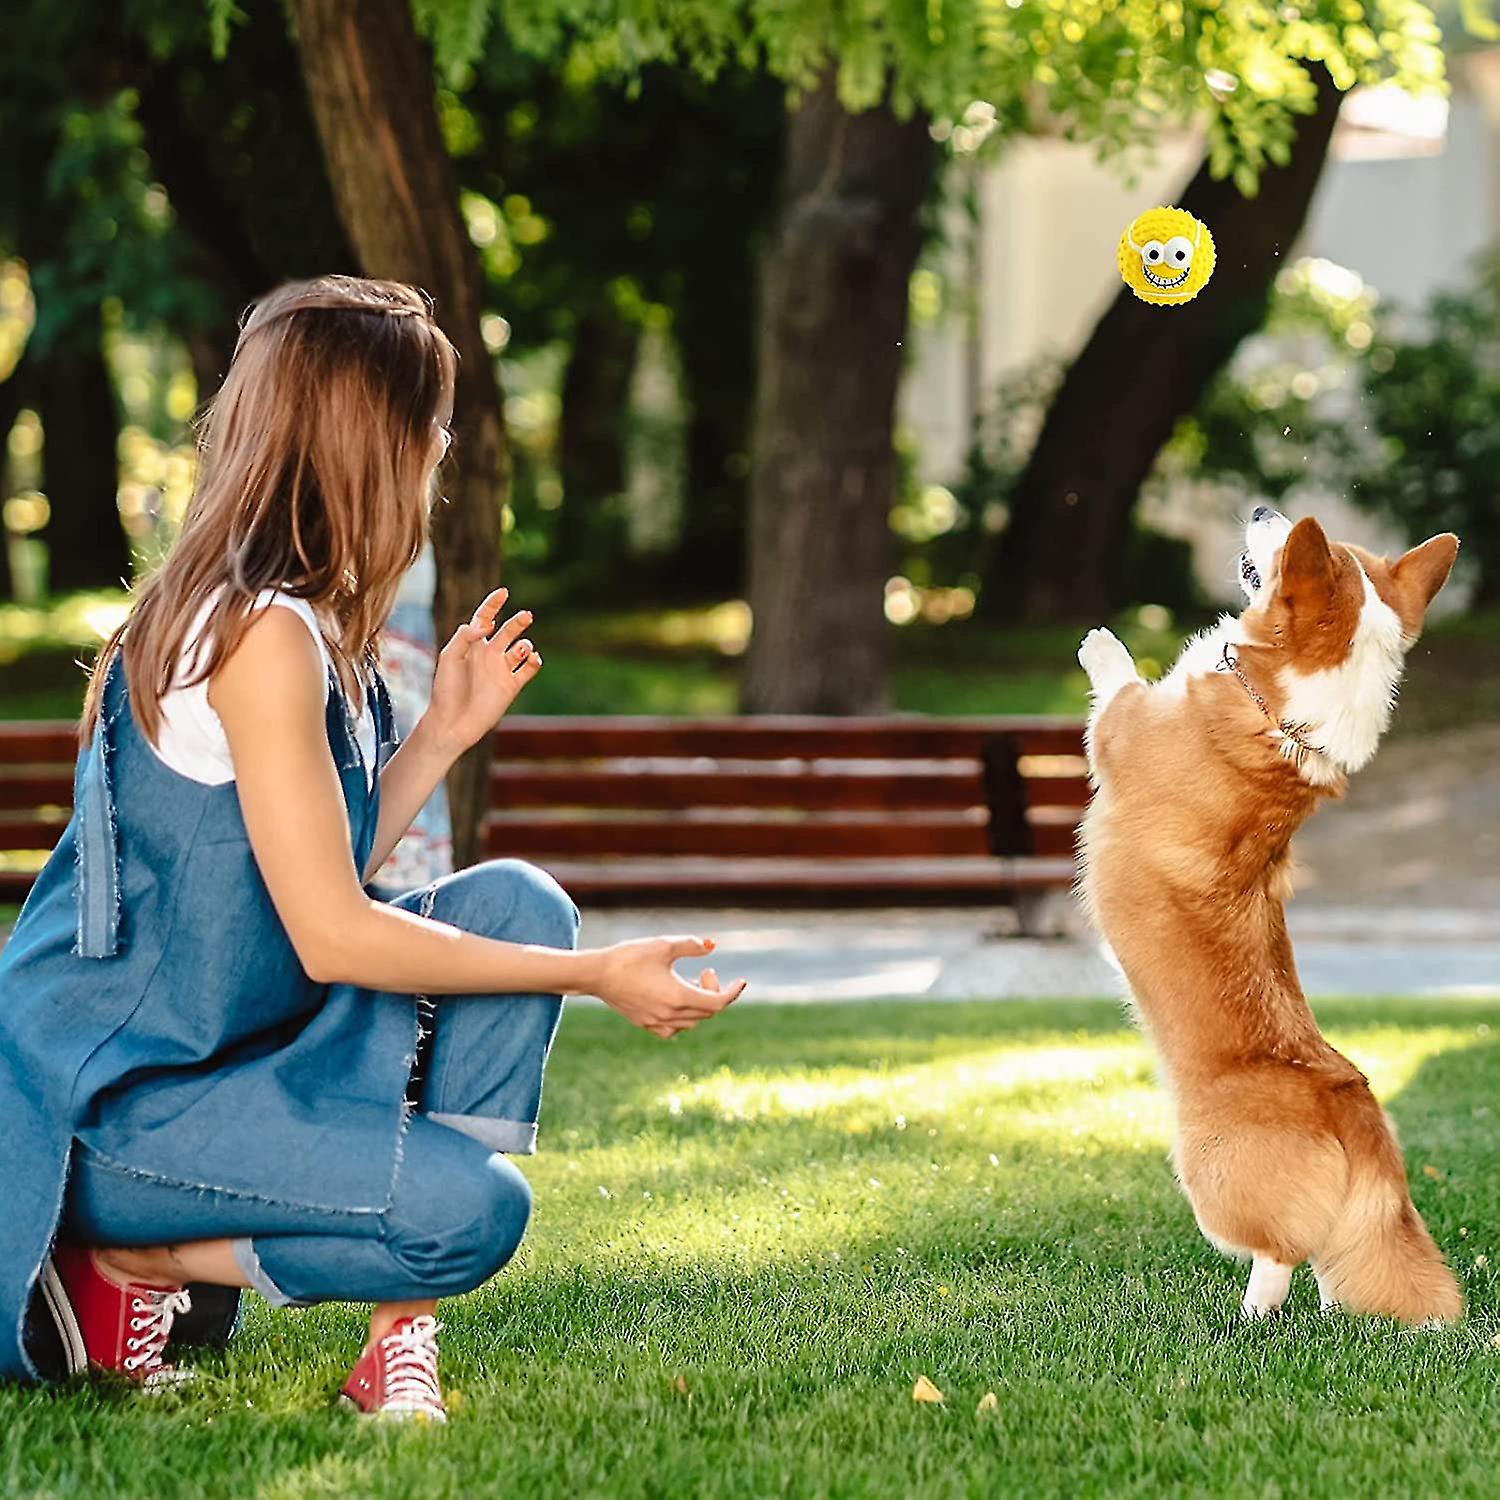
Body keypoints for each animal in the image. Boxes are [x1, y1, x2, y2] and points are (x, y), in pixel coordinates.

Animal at [1080, 507, 1464, 1326]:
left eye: (1286, 548)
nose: (1261, 511)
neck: (1278, 714)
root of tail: (1353, 1107)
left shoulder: (1123, 730)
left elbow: (1119, 686)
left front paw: (1102, 643)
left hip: (1207, 1175)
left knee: (1281, 1250)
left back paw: (1252, 1316)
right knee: (1334, 1254)